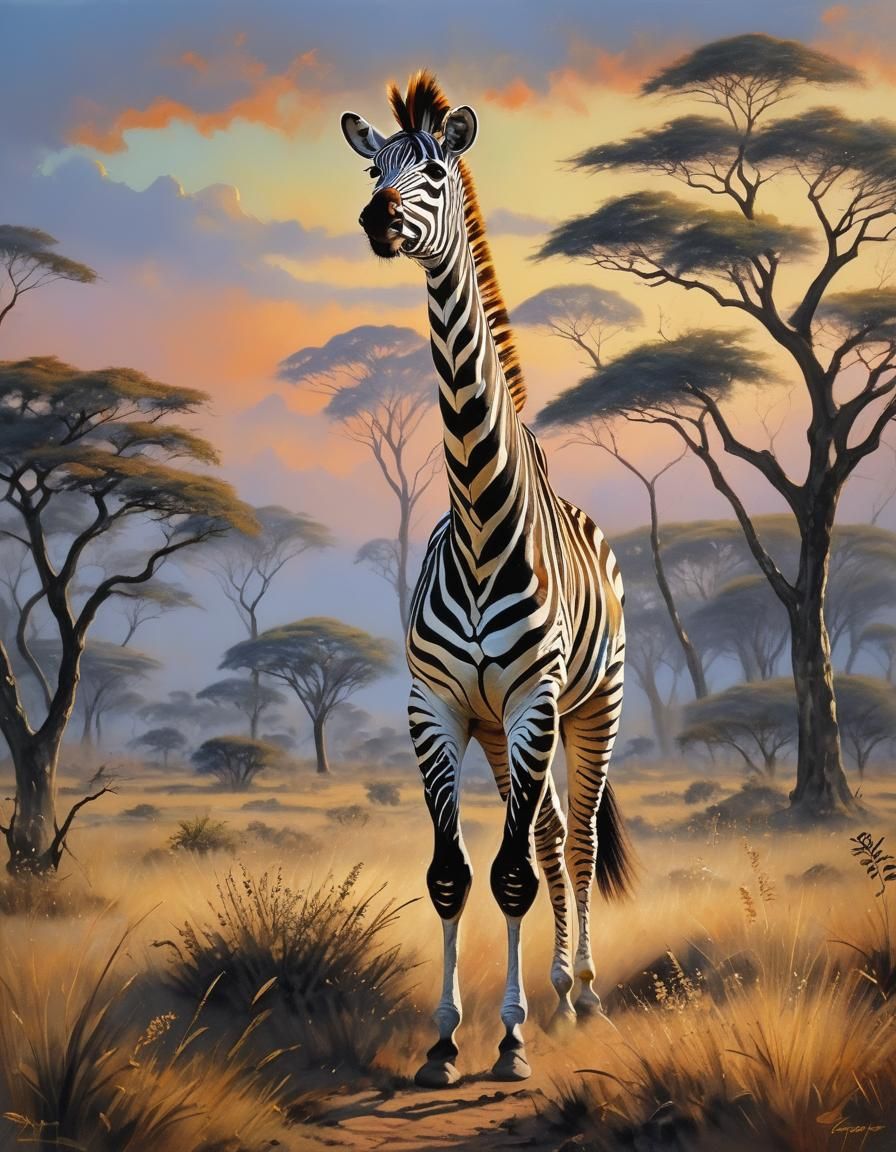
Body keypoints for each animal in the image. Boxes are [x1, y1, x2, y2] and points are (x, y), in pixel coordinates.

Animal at [341, 71, 634, 1087]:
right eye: (374, 168)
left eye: (433, 171)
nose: (378, 219)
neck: (477, 519)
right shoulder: (433, 708)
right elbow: (453, 875)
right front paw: (443, 1040)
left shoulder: (536, 700)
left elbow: (508, 874)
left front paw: (507, 1043)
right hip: (507, 733)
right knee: (542, 838)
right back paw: (555, 989)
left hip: (589, 708)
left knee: (574, 842)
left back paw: (582, 996)